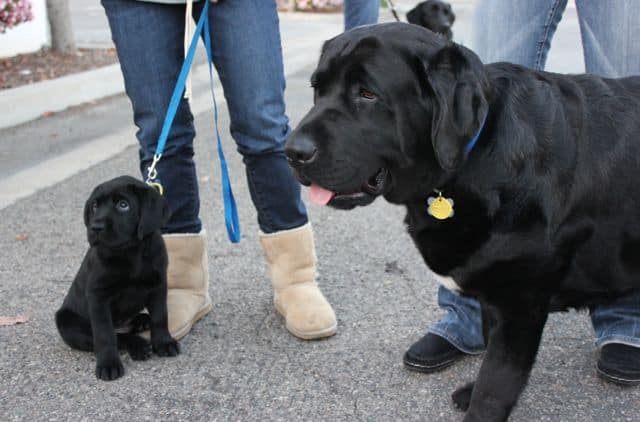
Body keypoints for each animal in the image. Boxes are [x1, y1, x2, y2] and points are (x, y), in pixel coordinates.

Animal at [55, 176, 180, 380]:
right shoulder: (98, 296)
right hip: (66, 322)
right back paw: (138, 345)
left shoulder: (159, 284)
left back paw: (141, 322)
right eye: (94, 206)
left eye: (123, 205)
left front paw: (164, 342)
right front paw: (108, 364)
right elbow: (104, 334)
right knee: (115, 336)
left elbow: (160, 316)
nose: (95, 227)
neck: (130, 251)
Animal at [286, 23, 640, 422]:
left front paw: (479, 405)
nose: (292, 152)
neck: (473, 154)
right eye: (317, 89)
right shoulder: (492, 295)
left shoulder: (520, 304)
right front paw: (471, 391)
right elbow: (488, 353)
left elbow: (496, 383)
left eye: (367, 94)